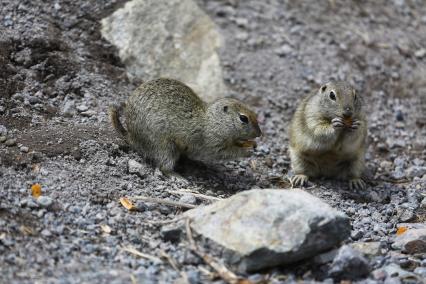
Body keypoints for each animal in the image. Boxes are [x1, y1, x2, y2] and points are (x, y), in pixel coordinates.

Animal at [108, 77, 262, 175]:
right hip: (165, 147)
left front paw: (251, 144)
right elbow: (228, 153)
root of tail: (131, 136)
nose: (259, 134)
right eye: (243, 118)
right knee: (164, 167)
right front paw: (247, 152)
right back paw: (178, 177)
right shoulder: (213, 145)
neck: (213, 121)